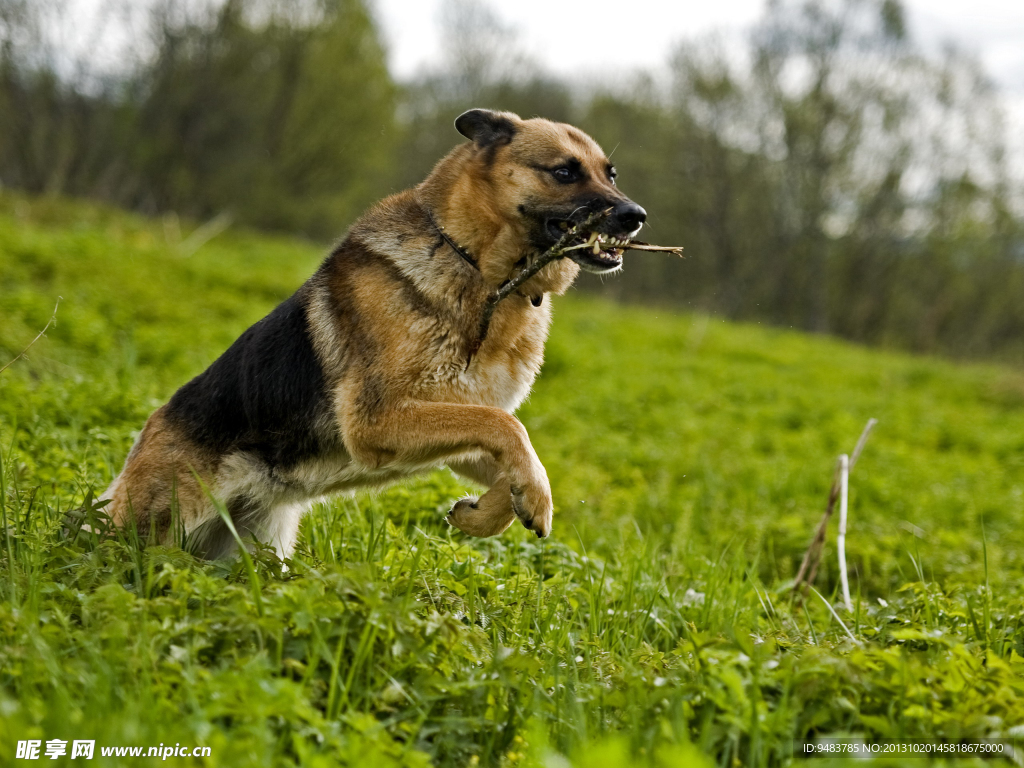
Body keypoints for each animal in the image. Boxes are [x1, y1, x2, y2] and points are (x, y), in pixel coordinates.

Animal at [103, 108, 647, 561]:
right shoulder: (379, 420)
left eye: (610, 174)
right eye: (564, 172)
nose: (636, 216)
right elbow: (510, 429)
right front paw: (528, 497)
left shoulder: (455, 420)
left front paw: (496, 509)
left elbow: (512, 450)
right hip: (155, 525)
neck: (480, 274)